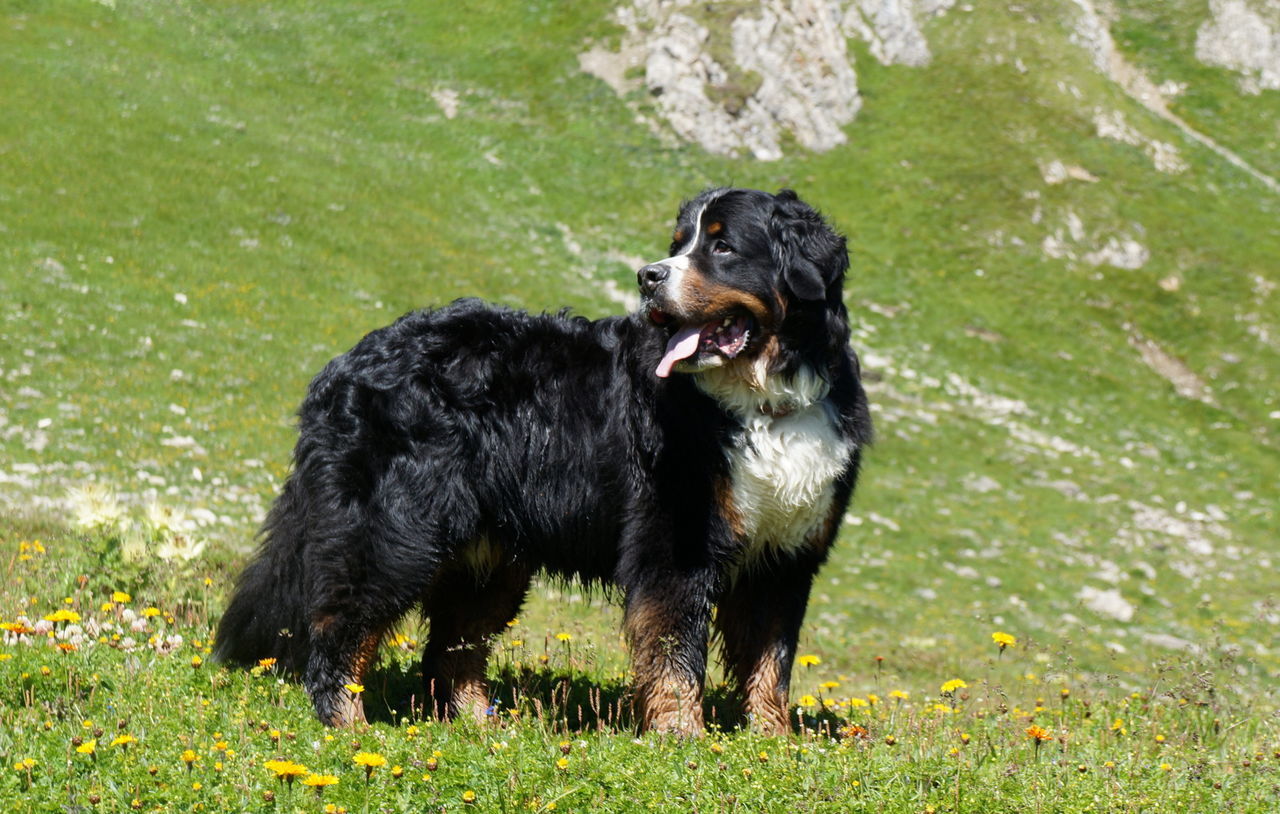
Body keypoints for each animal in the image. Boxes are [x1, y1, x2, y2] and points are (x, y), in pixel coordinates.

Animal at [215, 188, 875, 732]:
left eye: (722, 245)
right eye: (676, 245)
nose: (648, 277)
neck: (765, 401)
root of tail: (349, 359)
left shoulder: (784, 557)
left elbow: (771, 661)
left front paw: (772, 740)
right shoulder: (676, 542)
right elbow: (675, 654)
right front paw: (682, 736)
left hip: (488, 556)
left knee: (453, 646)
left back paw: (479, 724)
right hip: (394, 528)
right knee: (341, 621)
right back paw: (347, 722)